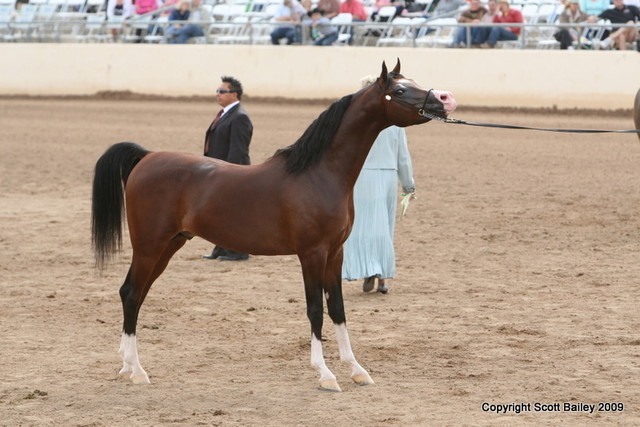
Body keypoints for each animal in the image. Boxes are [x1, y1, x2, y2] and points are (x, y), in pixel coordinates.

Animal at [91, 59, 457, 392]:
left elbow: (337, 308)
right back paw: (137, 370)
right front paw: (325, 374)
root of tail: (146, 157)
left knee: (135, 293)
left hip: (170, 244)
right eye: (400, 90)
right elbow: (315, 310)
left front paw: (356, 370)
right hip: (150, 245)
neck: (318, 173)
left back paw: (126, 365)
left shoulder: (336, 253)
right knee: (131, 292)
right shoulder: (311, 254)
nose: (444, 99)